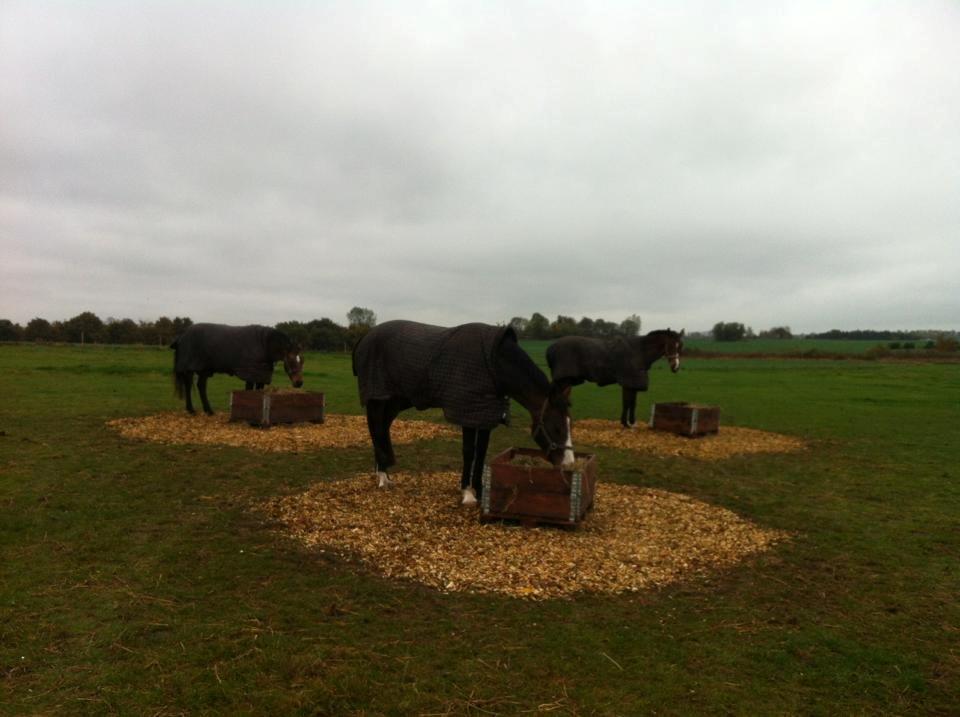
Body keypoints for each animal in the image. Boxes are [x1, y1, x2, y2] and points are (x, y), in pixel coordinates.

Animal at [170, 324, 304, 414]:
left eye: (301, 360)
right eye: (291, 360)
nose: (299, 383)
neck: (265, 344)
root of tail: (181, 336)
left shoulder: (260, 374)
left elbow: (258, 391)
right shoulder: (250, 373)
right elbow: (249, 391)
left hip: (204, 370)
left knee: (201, 386)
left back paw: (208, 411)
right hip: (190, 368)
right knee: (188, 385)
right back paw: (191, 410)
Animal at [354, 318, 572, 504]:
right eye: (557, 428)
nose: (569, 464)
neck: (494, 363)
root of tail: (367, 336)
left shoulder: (485, 414)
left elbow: (481, 452)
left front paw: (480, 490)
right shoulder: (467, 412)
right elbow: (469, 451)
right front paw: (467, 493)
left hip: (394, 401)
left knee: (382, 429)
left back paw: (384, 474)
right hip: (378, 399)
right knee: (376, 429)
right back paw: (382, 478)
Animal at [548, 328, 684, 426]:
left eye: (680, 346)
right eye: (670, 345)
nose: (675, 367)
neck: (639, 352)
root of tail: (551, 347)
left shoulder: (633, 383)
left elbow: (632, 403)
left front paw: (631, 422)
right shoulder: (627, 383)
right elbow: (626, 403)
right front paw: (625, 423)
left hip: (567, 381)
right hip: (564, 380)